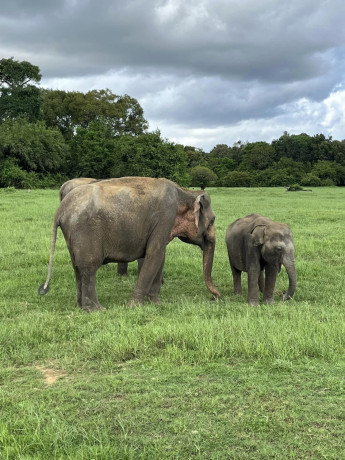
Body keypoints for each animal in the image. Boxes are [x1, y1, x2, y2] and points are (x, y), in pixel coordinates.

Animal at [39, 178, 219, 310]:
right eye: (213, 220)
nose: (216, 296)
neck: (185, 192)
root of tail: (61, 209)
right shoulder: (165, 217)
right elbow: (155, 254)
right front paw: (134, 306)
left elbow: (159, 257)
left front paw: (156, 304)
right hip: (85, 231)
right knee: (89, 267)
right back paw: (97, 309)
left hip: (72, 234)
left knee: (77, 267)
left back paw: (81, 306)